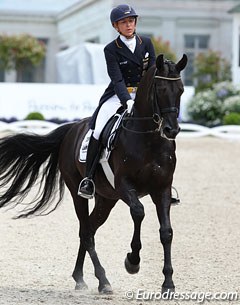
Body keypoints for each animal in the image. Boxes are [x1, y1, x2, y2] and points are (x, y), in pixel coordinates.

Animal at [0, 53, 188, 294]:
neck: (149, 139)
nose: (171, 130)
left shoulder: (161, 189)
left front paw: (168, 283)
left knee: (89, 228)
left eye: (180, 90)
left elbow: (166, 232)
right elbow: (138, 212)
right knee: (86, 232)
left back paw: (81, 277)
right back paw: (103, 280)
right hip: (78, 191)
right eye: (160, 89)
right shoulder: (125, 185)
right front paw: (132, 261)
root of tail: (71, 129)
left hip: (106, 199)